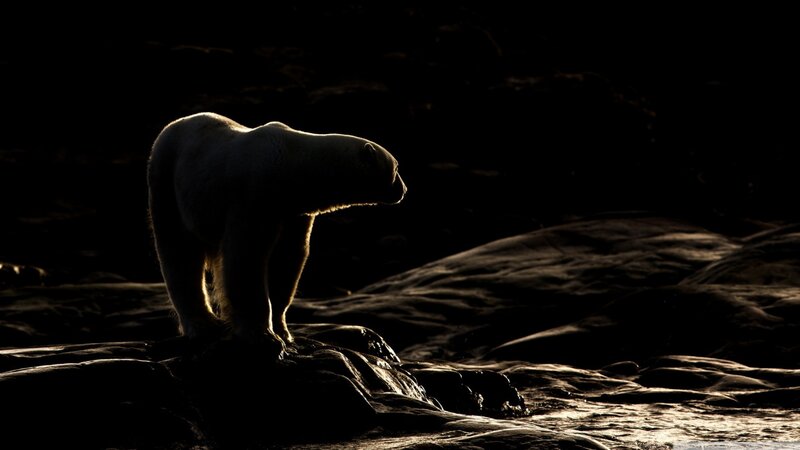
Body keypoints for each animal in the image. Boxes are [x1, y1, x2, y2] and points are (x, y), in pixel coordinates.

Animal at [147, 112, 406, 348]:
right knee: (178, 252)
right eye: (396, 168)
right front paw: (262, 334)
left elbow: (288, 259)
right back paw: (204, 326)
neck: (293, 165)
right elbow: (246, 255)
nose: (403, 189)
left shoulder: (294, 212)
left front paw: (284, 331)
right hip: (167, 180)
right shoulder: (255, 194)